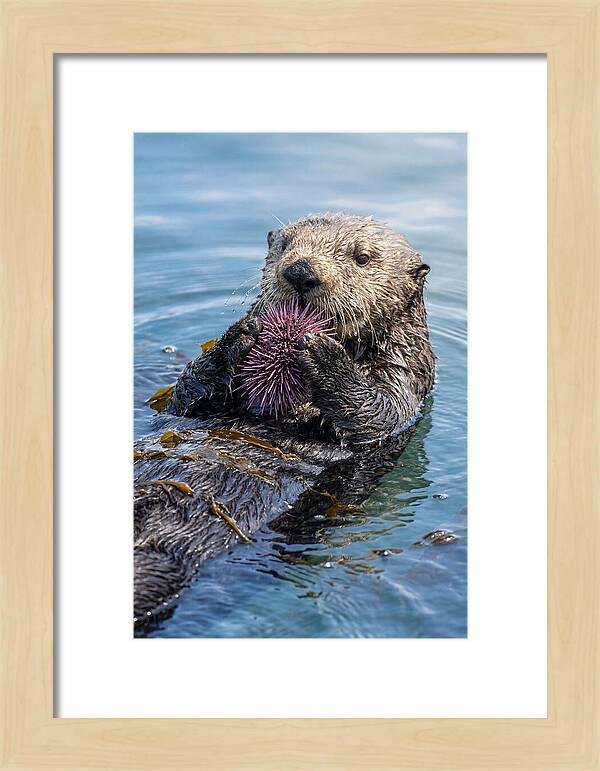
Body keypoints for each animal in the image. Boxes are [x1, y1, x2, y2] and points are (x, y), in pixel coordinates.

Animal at [134, 212, 435, 633]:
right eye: (285, 245)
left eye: (362, 257)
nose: (301, 272)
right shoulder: (187, 404)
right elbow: (185, 395)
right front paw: (238, 335)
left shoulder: (404, 380)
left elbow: (378, 414)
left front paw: (324, 355)